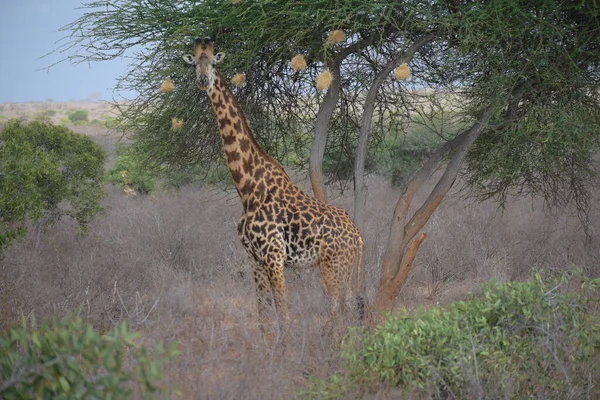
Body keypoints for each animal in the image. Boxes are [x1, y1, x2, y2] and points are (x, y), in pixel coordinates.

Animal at [182, 37, 366, 332]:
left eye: (213, 63)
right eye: (194, 64)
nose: (202, 81)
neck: (247, 187)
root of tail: (358, 236)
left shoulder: (274, 257)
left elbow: (285, 317)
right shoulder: (255, 259)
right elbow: (264, 318)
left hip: (333, 266)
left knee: (339, 312)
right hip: (344, 268)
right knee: (346, 309)